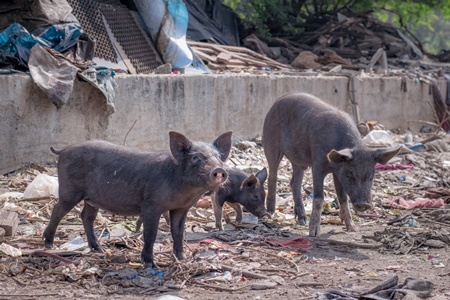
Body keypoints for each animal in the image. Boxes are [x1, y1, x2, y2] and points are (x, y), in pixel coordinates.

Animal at [44, 131, 232, 268]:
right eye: (196, 157)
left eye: (218, 156)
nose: (218, 170)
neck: (185, 190)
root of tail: (63, 150)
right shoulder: (151, 205)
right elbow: (151, 234)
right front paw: (149, 265)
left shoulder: (182, 208)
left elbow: (178, 232)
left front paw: (182, 259)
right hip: (70, 191)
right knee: (57, 210)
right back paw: (48, 245)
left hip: (91, 199)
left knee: (86, 216)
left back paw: (99, 250)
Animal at [262, 93, 400, 237]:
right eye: (350, 173)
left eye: (371, 175)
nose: (363, 204)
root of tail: (277, 101)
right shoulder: (317, 165)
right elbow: (319, 198)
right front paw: (314, 233)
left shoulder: (337, 173)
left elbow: (343, 198)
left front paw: (352, 228)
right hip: (270, 142)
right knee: (272, 175)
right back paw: (270, 213)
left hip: (298, 160)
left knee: (294, 182)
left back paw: (302, 220)